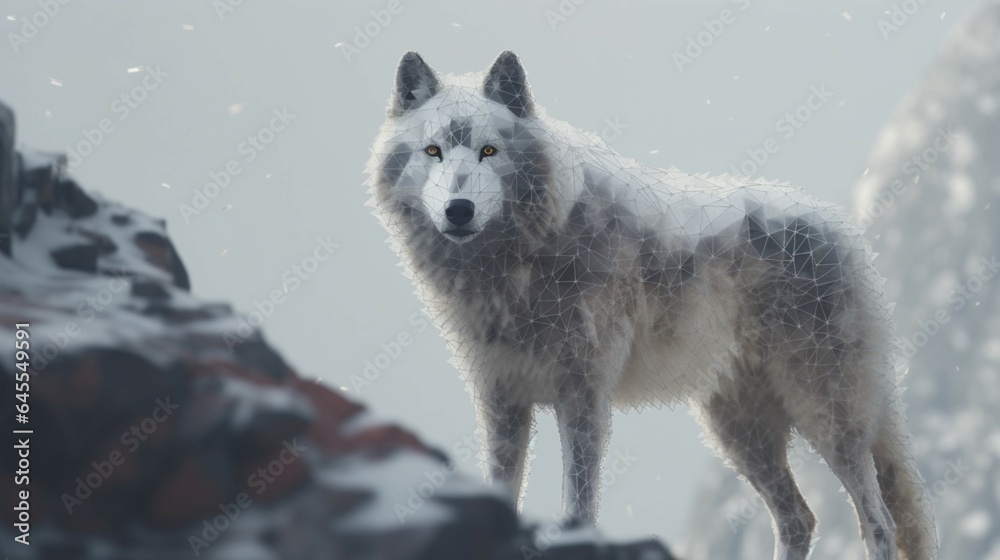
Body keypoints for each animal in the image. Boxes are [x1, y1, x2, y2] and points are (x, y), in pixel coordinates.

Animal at [366, 51, 937, 560]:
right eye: (433, 151)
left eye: (488, 151)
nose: (458, 209)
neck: (518, 266)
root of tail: (845, 230)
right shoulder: (501, 398)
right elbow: (502, 487)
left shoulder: (584, 395)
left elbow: (579, 501)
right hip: (740, 432)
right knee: (799, 519)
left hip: (827, 416)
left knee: (879, 522)